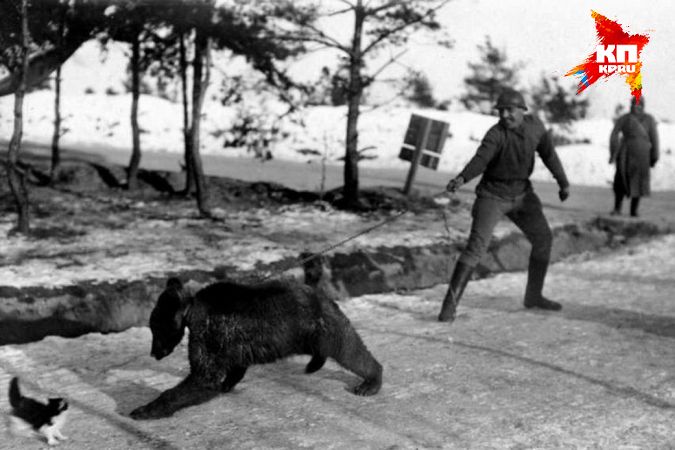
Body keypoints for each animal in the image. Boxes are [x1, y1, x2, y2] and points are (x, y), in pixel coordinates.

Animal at [130, 276, 382, 420]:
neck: (191, 313)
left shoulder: (209, 334)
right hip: (305, 333)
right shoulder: (230, 341)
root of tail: (322, 295)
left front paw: (144, 410)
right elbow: (232, 368)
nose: (154, 352)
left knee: (350, 350)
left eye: (155, 328)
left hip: (324, 326)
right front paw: (226, 384)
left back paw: (370, 382)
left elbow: (204, 377)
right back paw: (314, 365)